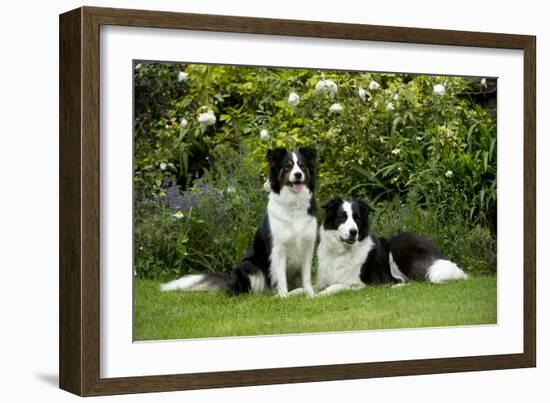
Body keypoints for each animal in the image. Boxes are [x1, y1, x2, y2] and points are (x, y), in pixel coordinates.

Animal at [160, 147, 320, 298]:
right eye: (287, 167)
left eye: (302, 165)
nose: (298, 175)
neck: (294, 204)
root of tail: (231, 280)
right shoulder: (278, 248)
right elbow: (280, 276)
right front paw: (283, 296)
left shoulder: (307, 247)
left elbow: (307, 277)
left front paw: (310, 295)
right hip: (249, 266)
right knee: (247, 291)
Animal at [316, 198, 468, 296]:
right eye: (342, 217)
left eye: (357, 218)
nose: (354, 232)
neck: (340, 252)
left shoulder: (361, 283)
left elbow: (335, 286)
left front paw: (319, 295)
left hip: (398, 249)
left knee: (421, 281)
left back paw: (397, 285)